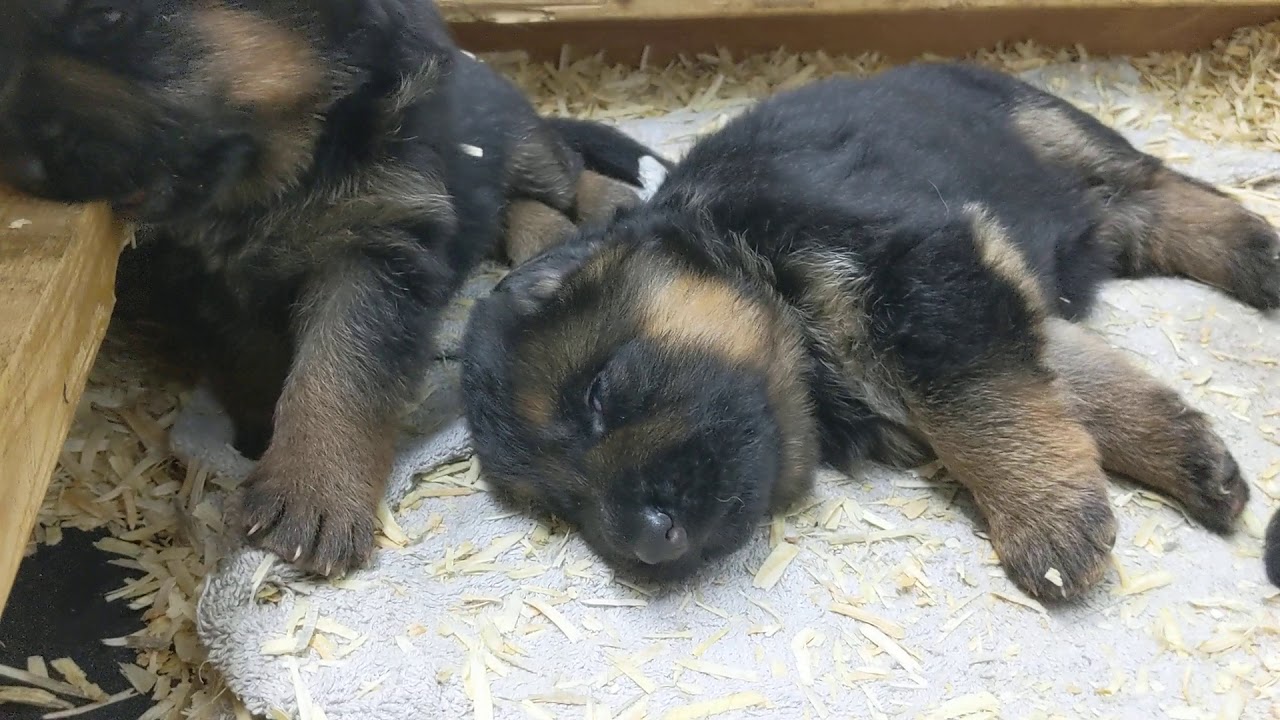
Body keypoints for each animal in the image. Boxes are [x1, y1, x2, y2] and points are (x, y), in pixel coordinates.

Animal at [0, 0, 660, 571]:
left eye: (107, 16)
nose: (20, 168)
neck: (279, 171)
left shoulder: (377, 241)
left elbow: (341, 369)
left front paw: (314, 487)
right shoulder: (202, 277)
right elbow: (253, 361)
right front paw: (261, 436)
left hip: (516, 138)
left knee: (560, 168)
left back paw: (607, 201)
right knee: (508, 206)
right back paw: (543, 235)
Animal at [463, 63, 1280, 599]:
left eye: (599, 394)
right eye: (560, 508)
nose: (647, 545)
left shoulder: (925, 276)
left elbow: (979, 409)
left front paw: (1045, 523)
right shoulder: (984, 295)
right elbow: (1075, 386)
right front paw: (1188, 458)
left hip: (1050, 127)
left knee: (1168, 188)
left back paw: (1260, 256)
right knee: (1145, 215)